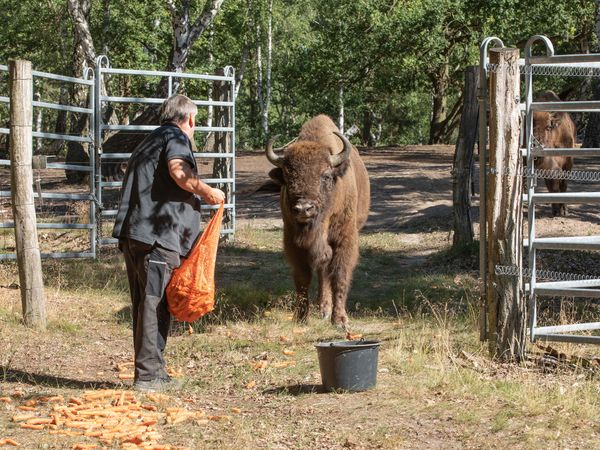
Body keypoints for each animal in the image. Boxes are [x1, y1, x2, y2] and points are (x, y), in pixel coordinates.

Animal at [266, 115, 370, 326]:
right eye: (287, 178)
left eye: (326, 176)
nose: (304, 208)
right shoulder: (293, 242)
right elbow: (303, 278)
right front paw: (300, 317)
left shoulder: (345, 239)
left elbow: (339, 274)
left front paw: (340, 320)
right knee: (322, 269)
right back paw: (322, 308)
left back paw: (326, 310)